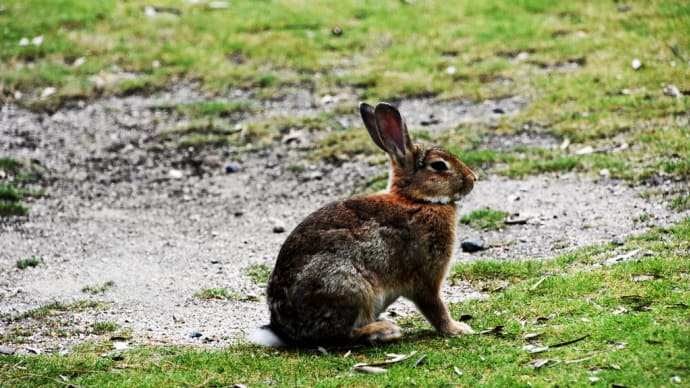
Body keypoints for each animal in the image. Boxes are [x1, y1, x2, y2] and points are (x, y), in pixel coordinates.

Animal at [250, 101, 476, 348]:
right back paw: (384, 331)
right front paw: (458, 329)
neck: (417, 200)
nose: (473, 178)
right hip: (349, 288)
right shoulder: (425, 278)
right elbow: (435, 308)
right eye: (439, 165)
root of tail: (284, 330)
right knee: (339, 336)